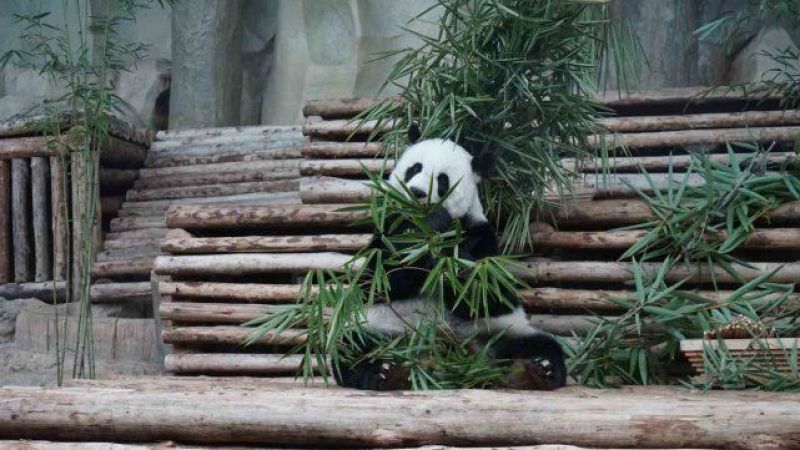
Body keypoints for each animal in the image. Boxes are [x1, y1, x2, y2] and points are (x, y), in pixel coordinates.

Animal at [333, 124, 566, 391]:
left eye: (442, 180)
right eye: (415, 168)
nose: (417, 192)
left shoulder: (481, 236)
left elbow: (488, 293)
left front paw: (439, 229)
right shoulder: (386, 231)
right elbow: (378, 282)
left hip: (501, 332)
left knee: (539, 345)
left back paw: (538, 370)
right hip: (382, 327)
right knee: (352, 347)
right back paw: (384, 372)